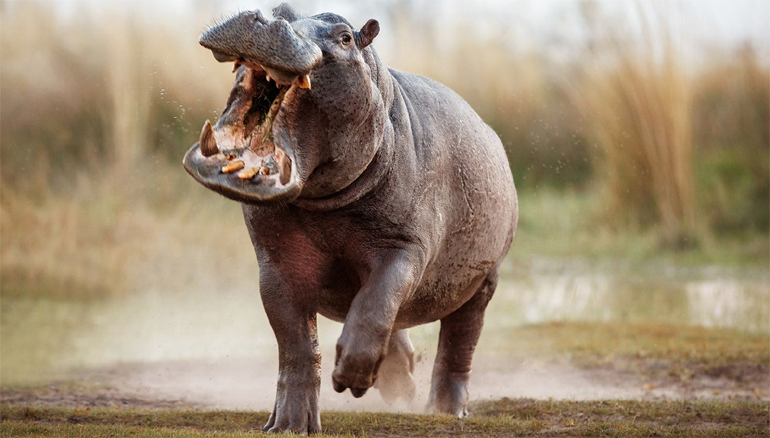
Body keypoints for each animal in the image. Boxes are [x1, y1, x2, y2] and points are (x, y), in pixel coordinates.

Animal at [183, 3, 518, 433]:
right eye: (280, 9)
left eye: (344, 37)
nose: (265, 20)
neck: (324, 203)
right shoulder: (276, 263)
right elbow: (296, 345)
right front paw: (288, 424)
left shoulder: (404, 247)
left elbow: (377, 302)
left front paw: (352, 378)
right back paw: (401, 383)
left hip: (484, 281)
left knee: (459, 342)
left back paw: (446, 409)